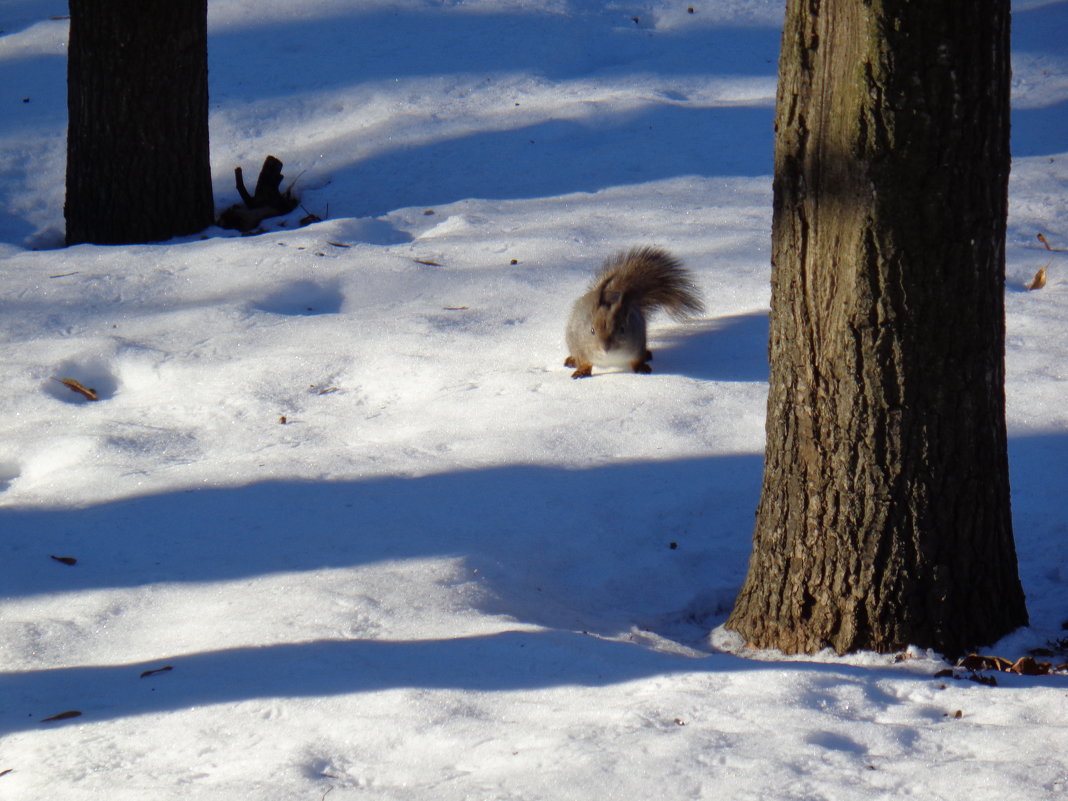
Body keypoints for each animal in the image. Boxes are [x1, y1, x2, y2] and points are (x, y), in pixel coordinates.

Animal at [563, 246, 704, 380]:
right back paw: (571, 360)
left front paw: (641, 367)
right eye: (592, 330)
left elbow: (637, 360)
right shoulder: (581, 348)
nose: (605, 347)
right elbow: (584, 362)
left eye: (622, 329)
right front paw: (582, 371)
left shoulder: (637, 345)